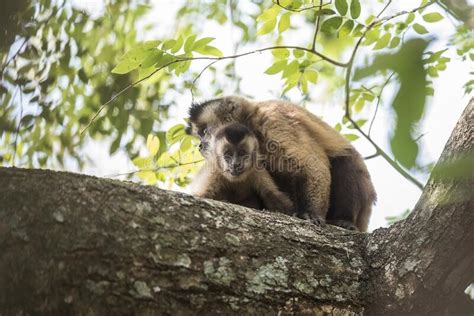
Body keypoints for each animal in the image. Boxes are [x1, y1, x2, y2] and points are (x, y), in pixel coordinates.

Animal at [187, 95, 376, 231]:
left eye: (204, 131)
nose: (200, 145)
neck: (252, 121)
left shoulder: (273, 121)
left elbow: (313, 166)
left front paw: (311, 214)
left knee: (344, 161)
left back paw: (344, 220)